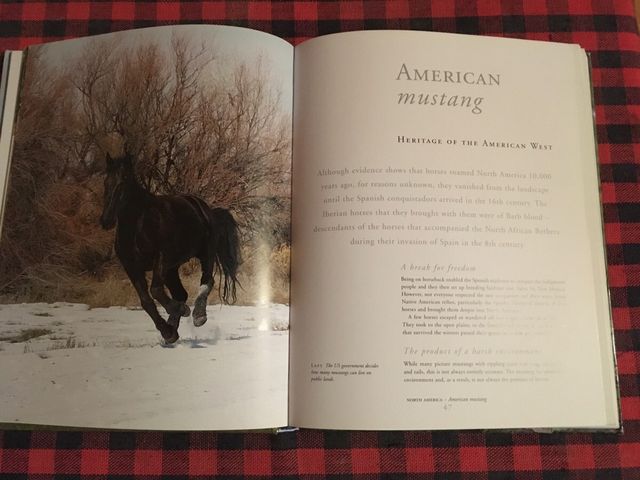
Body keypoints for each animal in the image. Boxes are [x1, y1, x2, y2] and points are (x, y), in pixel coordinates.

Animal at [99, 152, 240, 344]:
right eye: (106, 182)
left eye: (123, 183)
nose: (106, 220)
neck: (139, 225)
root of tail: (207, 209)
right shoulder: (132, 267)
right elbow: (146, 300)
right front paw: (168, 332)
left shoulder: (161, 258)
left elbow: (155, 290)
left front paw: (181, 312)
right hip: (172, 269)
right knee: (181, 293)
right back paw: (173, 325)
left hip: (205, 254)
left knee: (207, 281)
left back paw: (198, 315)